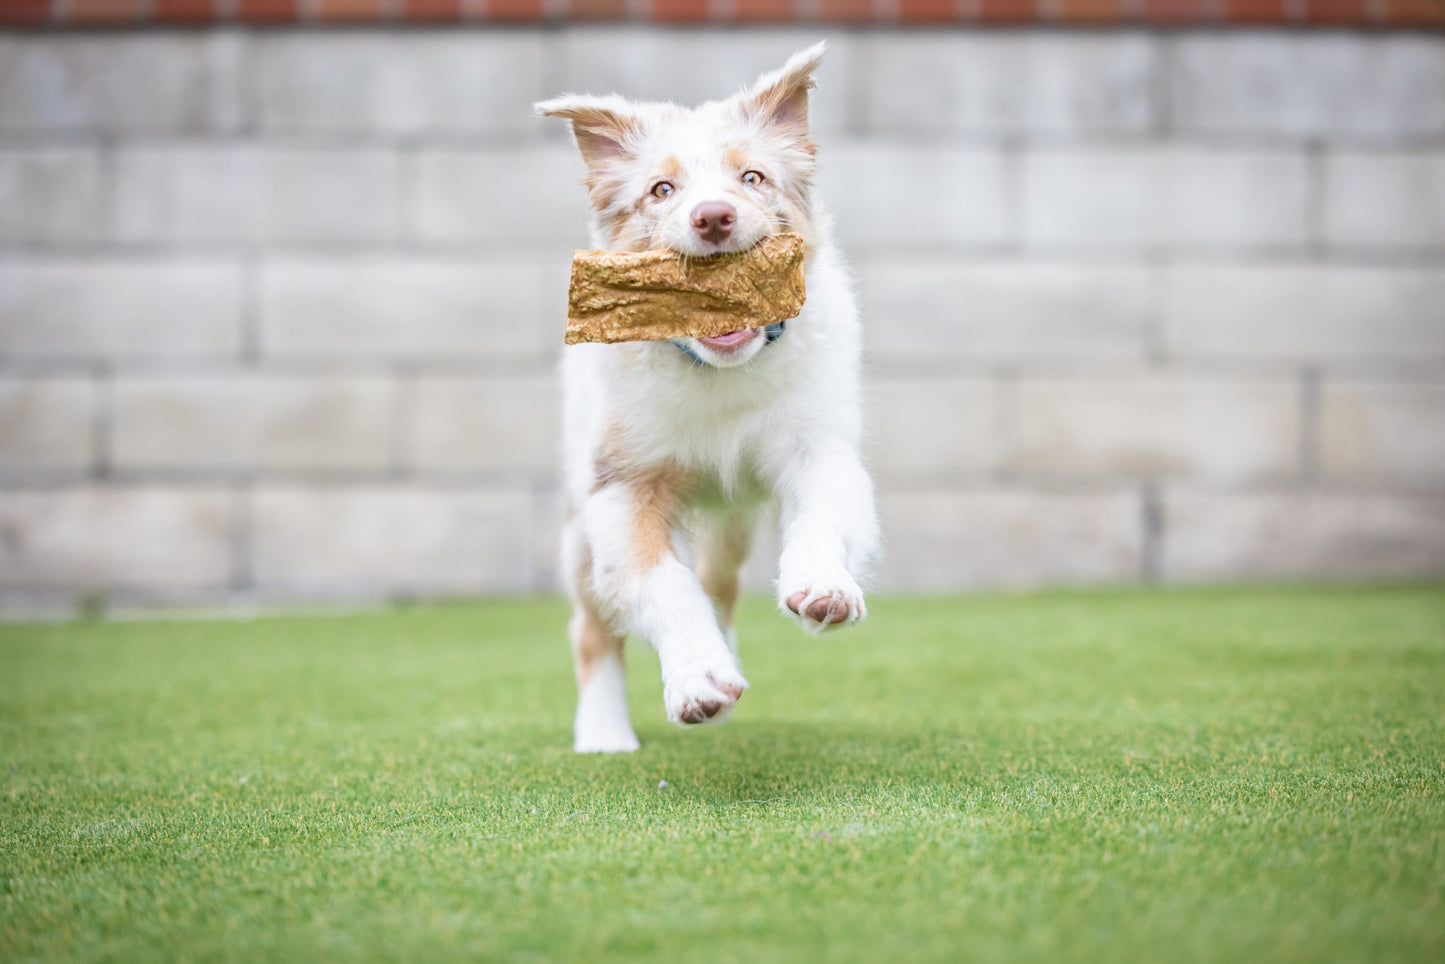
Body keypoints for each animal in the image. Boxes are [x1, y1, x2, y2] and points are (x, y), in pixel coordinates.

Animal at [540, 43, 878, 751]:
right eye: (661, 190)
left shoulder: (819, 449)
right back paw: (605, 733)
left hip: (732, 518)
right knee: (592, 627)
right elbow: (663, 581)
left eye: (752, 178)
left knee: (720, 583)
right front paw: (697, 680)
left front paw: (822, 587)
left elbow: (821, 516)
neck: (718, 373)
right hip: (579, 520)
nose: (714, 216)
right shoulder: (618, 487)